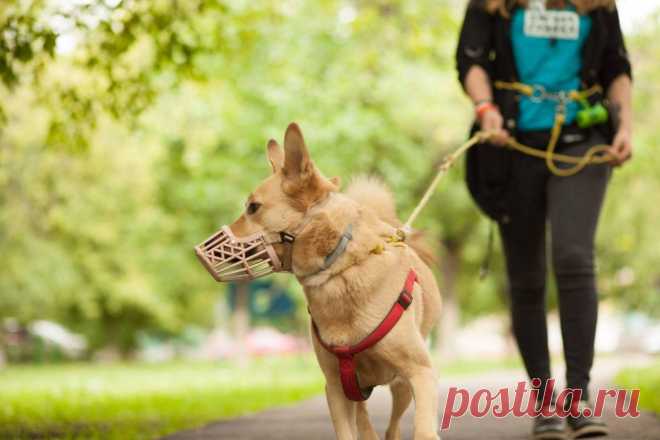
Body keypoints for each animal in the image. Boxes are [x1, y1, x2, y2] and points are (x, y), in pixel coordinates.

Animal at [217, 122, 440, 438]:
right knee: (367, 423)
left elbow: (423, 428)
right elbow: (347, 432)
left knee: (392, 426)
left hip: (401, 389)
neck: (340, 269)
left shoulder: (421, 374)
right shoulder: (336, 387)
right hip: (356, 388)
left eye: (253, 207)